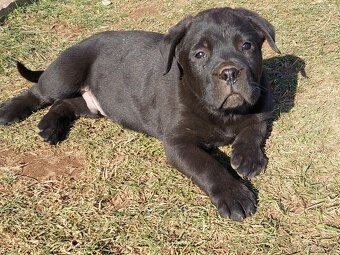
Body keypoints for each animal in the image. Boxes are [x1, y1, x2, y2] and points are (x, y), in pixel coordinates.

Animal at [0, 6, 278, 220]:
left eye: (246, 46)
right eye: (200, 54)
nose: (229, 72)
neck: (223, 113)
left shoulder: (262, 109)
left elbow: (254, 128)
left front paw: (247, 158)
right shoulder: (178, 143)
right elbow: (208, 166)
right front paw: (234, 194)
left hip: (93, 106)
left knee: (65, 104)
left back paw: (50, 126)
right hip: (65, 73)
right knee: (39, 92)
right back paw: (10, 111)